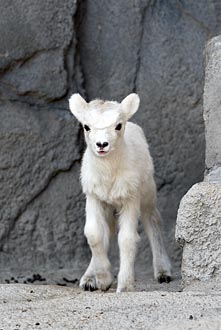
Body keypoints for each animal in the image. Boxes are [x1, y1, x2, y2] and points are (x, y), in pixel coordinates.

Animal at [68, 92, 172, 292]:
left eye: (118, 125)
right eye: (86, 126)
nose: (102, 144)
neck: (109, 174)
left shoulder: (130, 198)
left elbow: (127, 239)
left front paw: (124, 286)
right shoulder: (93, 197)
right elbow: (94, 234)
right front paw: (100, 280)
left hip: (147, 193)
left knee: (153, 220)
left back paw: (163, 273)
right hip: (109, 204)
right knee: (108, 228)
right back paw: (89, 279)